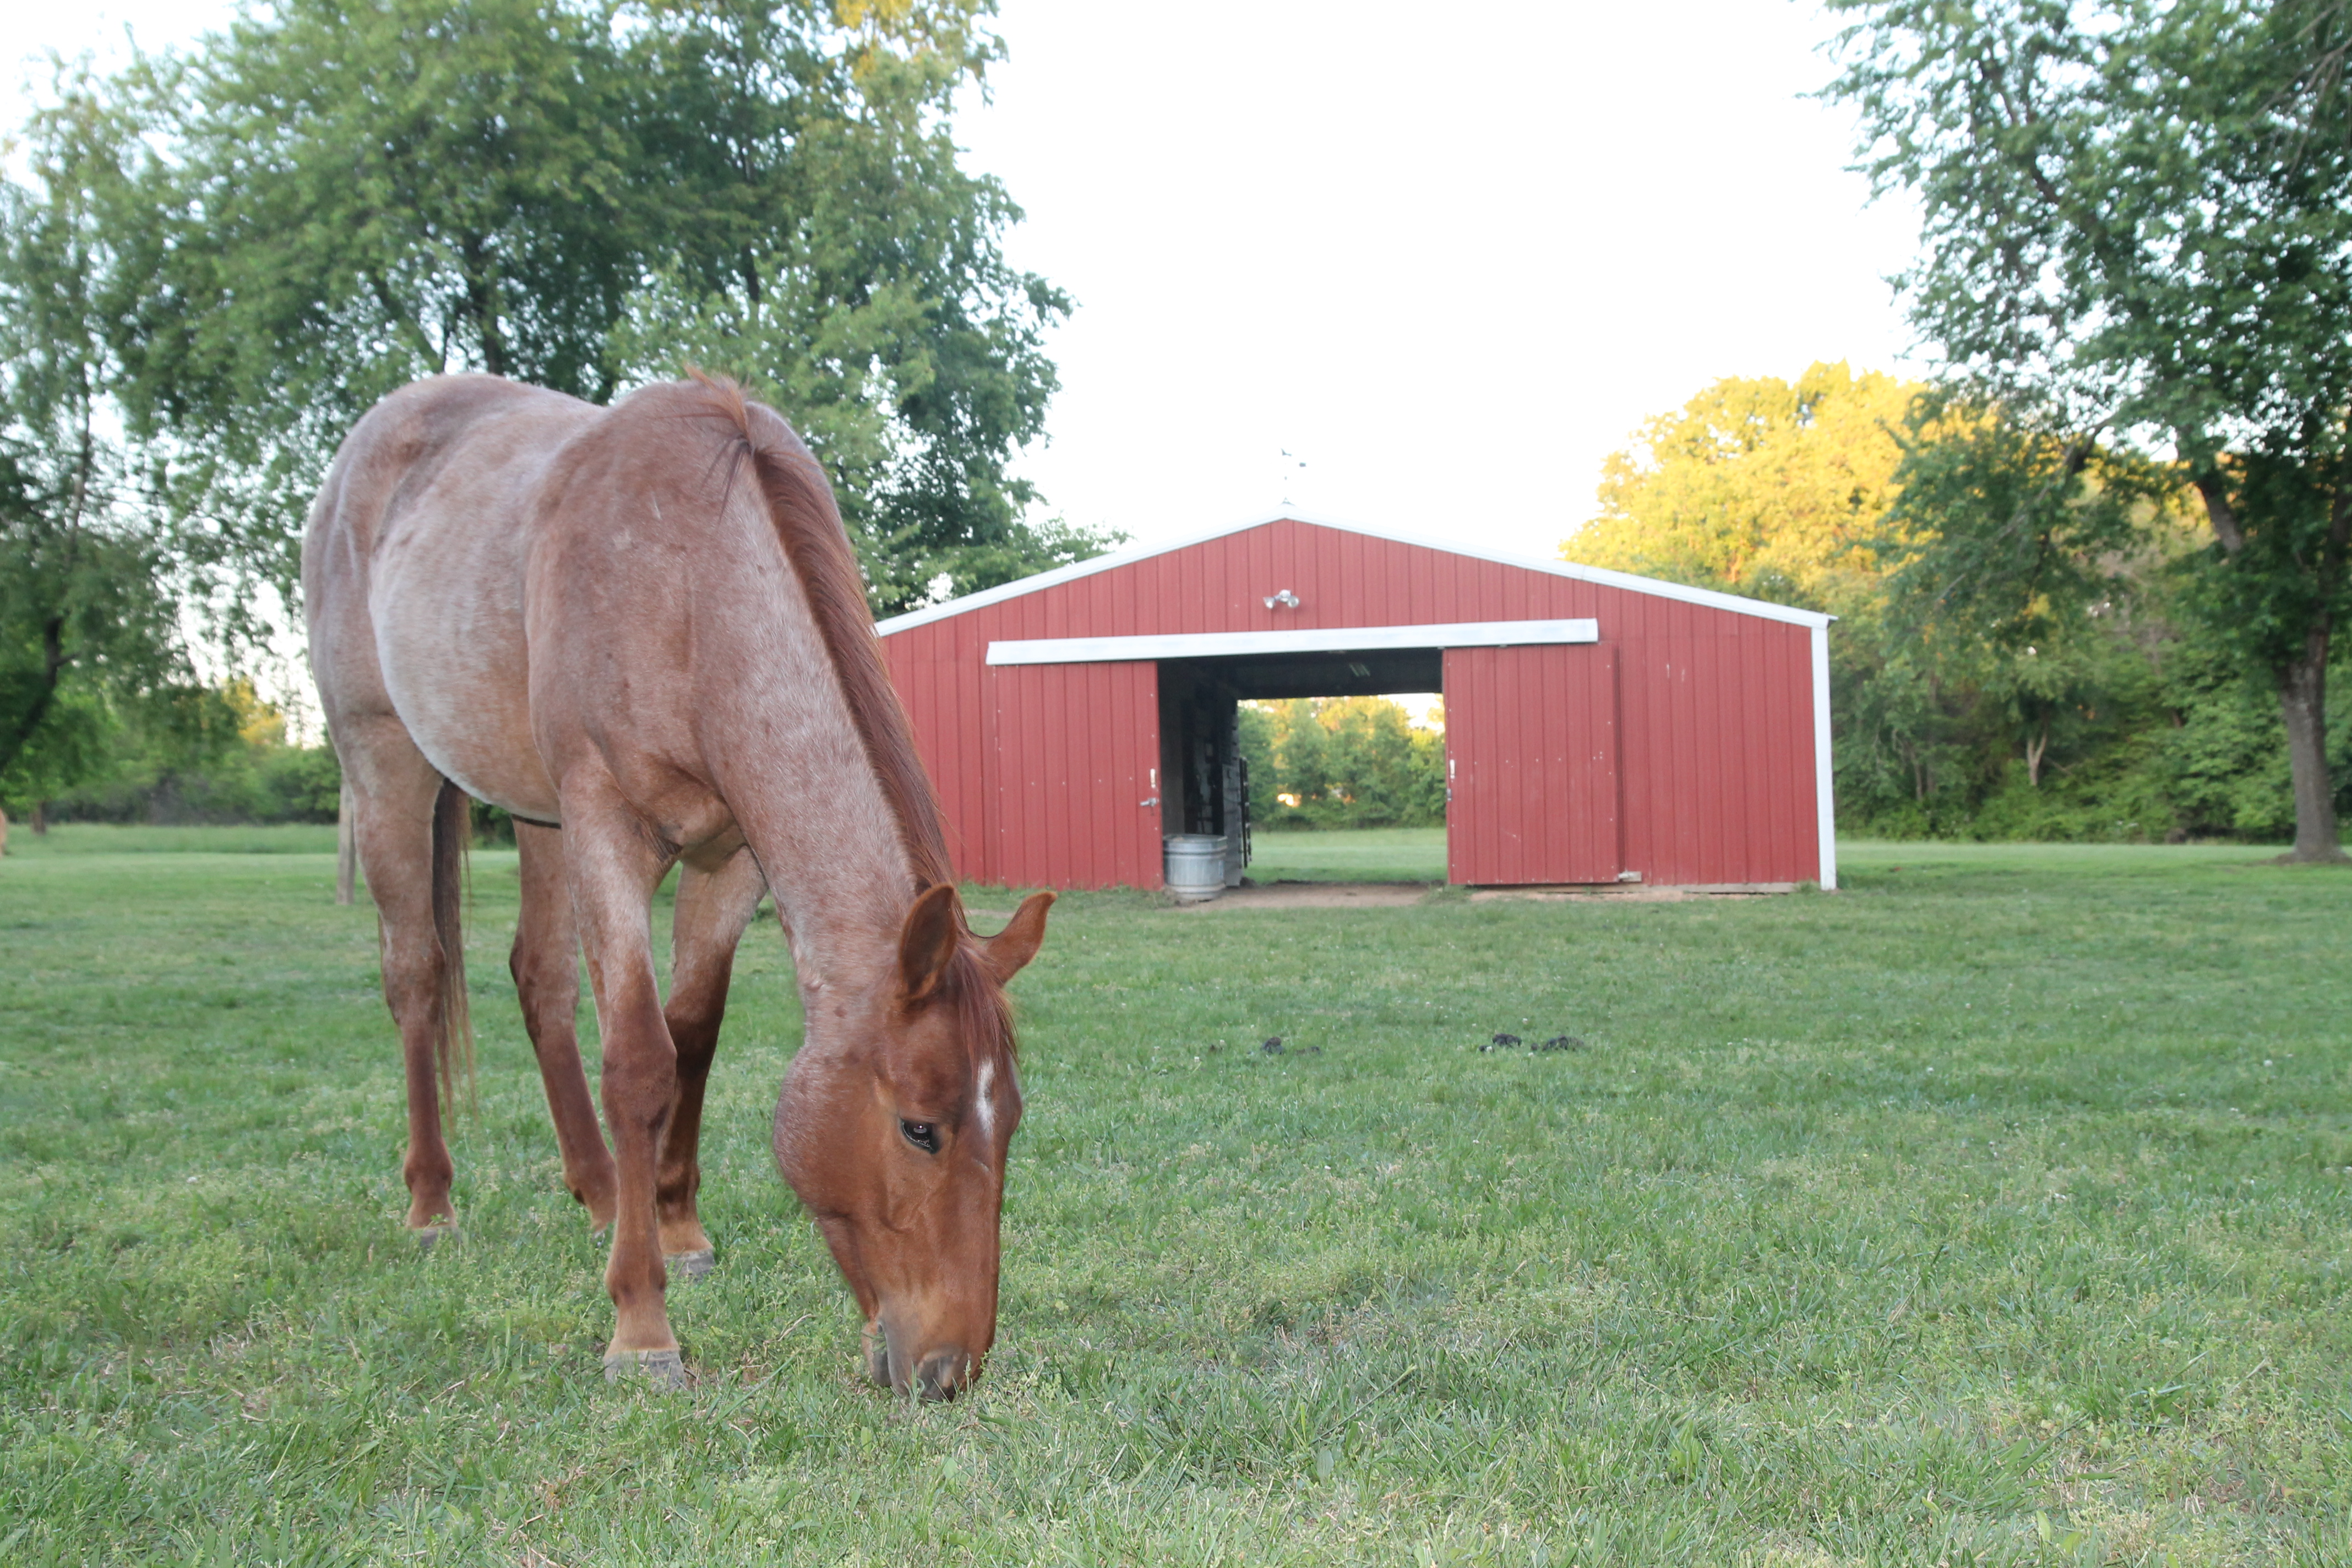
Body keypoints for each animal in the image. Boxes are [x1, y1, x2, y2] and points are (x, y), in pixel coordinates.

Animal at [303, 372, 1051, 1397]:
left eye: (1009, 1122)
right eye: (919, 1129)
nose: (948, 1369)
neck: (689, 585)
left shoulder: (731, 857)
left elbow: (691, 1035)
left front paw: (675, 1225)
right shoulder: (608, 827)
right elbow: (638, 1060)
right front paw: (641, 1324)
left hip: (540, 820)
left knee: (540, 981)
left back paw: (596, 1191)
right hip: (389, 766)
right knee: (415, 973)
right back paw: (431, 1205)